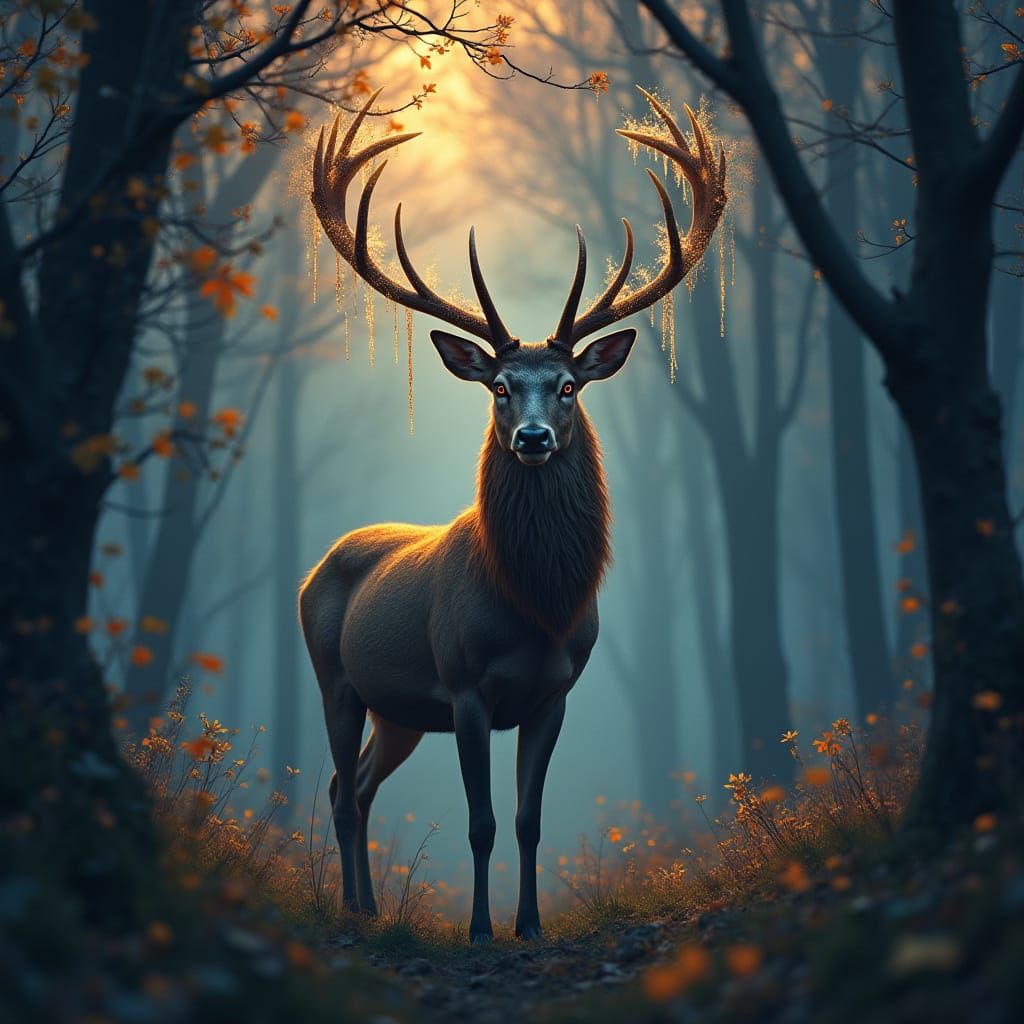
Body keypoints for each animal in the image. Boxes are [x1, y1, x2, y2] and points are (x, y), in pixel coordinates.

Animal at [299, 87, 727, 944]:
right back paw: (356, 912)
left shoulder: (555, 692)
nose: (532, 437)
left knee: (354, 787)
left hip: (398, 714)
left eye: (567, 386)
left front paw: (527, 926)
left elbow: (529, 820)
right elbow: (482, 821)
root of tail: (316, 568)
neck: (537, 606)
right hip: (336, 677)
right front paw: (479, 930)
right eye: (500, 387)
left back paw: (367, 907)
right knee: (340, 792)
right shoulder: (465, 686)